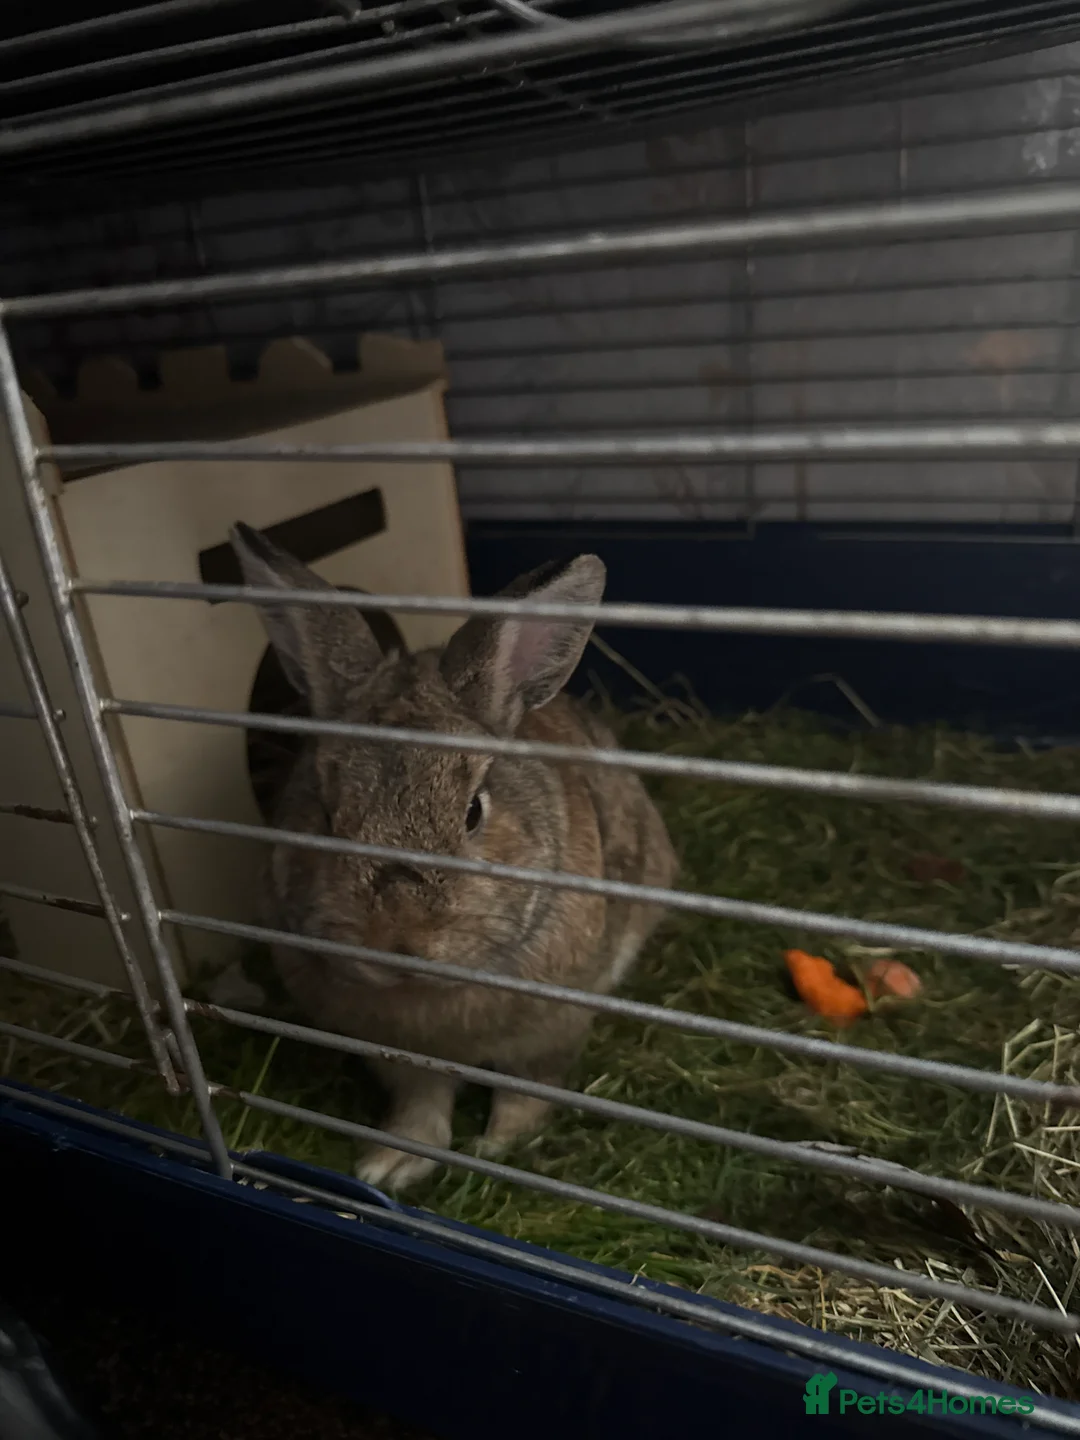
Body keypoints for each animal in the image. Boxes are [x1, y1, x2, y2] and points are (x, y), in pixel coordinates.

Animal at [229, 521, 678, 1192]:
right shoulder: (397, 1055)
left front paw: (498, 1148)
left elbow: (527, 1093)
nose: (399, 942)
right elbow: (421, 1102)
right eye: (326, 814)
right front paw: (391, 1165)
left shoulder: (547, 1033)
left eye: (473, 812)